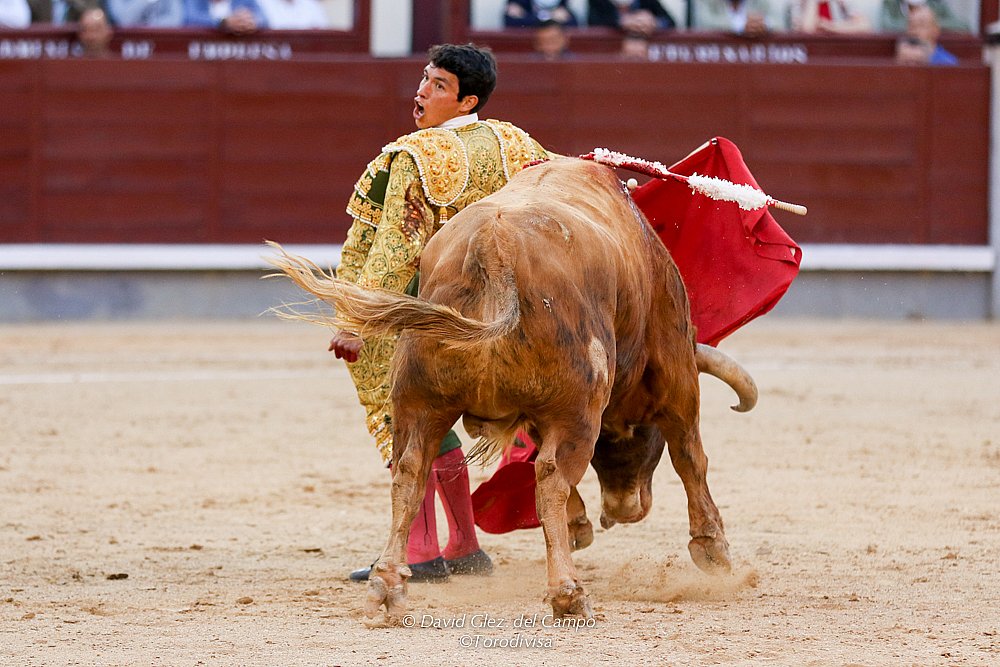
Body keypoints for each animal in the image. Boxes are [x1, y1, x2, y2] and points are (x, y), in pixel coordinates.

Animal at [268, 156, 758, 623]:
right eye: (641, 433)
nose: (622, 509)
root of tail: (494, 244)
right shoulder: (676, 371)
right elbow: (690, 455)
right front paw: (713, 549)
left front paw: (578, 526)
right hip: (578, 406)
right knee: (552, 477)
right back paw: (568, 595)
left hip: (418, 399)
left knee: (410, 471)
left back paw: (387, 587)